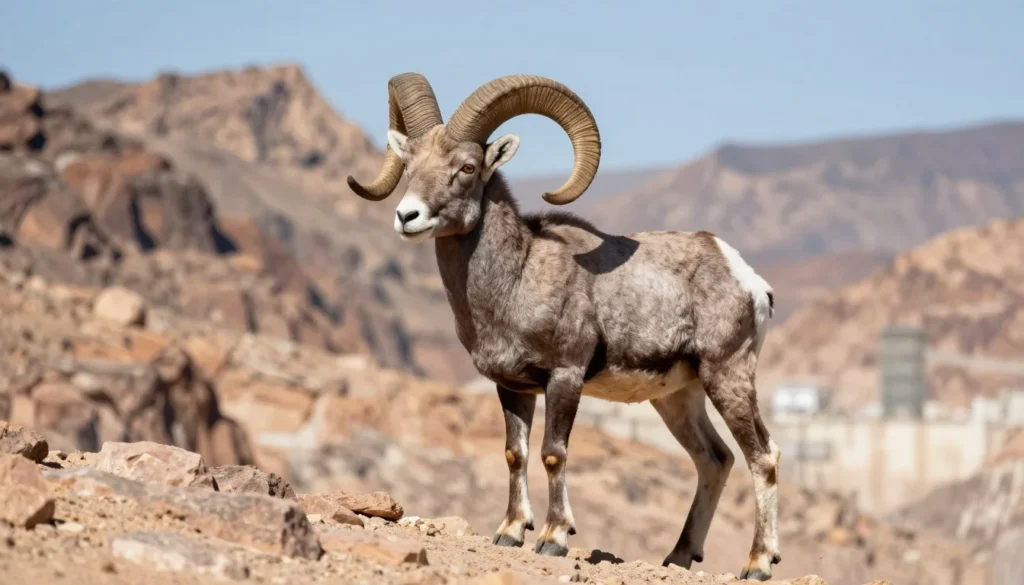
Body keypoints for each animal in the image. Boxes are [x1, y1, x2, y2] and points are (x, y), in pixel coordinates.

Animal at [347, 73, 782, 581]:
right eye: (410, 163)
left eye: (468, 167)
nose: (407, 216)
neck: (518, 277)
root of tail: (747, 279)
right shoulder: (513, 387)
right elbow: (515, 454)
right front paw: (510, 532)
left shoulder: (565, 378)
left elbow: (553, 453)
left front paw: (554, 538)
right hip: (678, 398)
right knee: (714, 460)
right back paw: (677, 557)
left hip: (727, 378)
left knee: (762, 457)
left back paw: (758, 564)